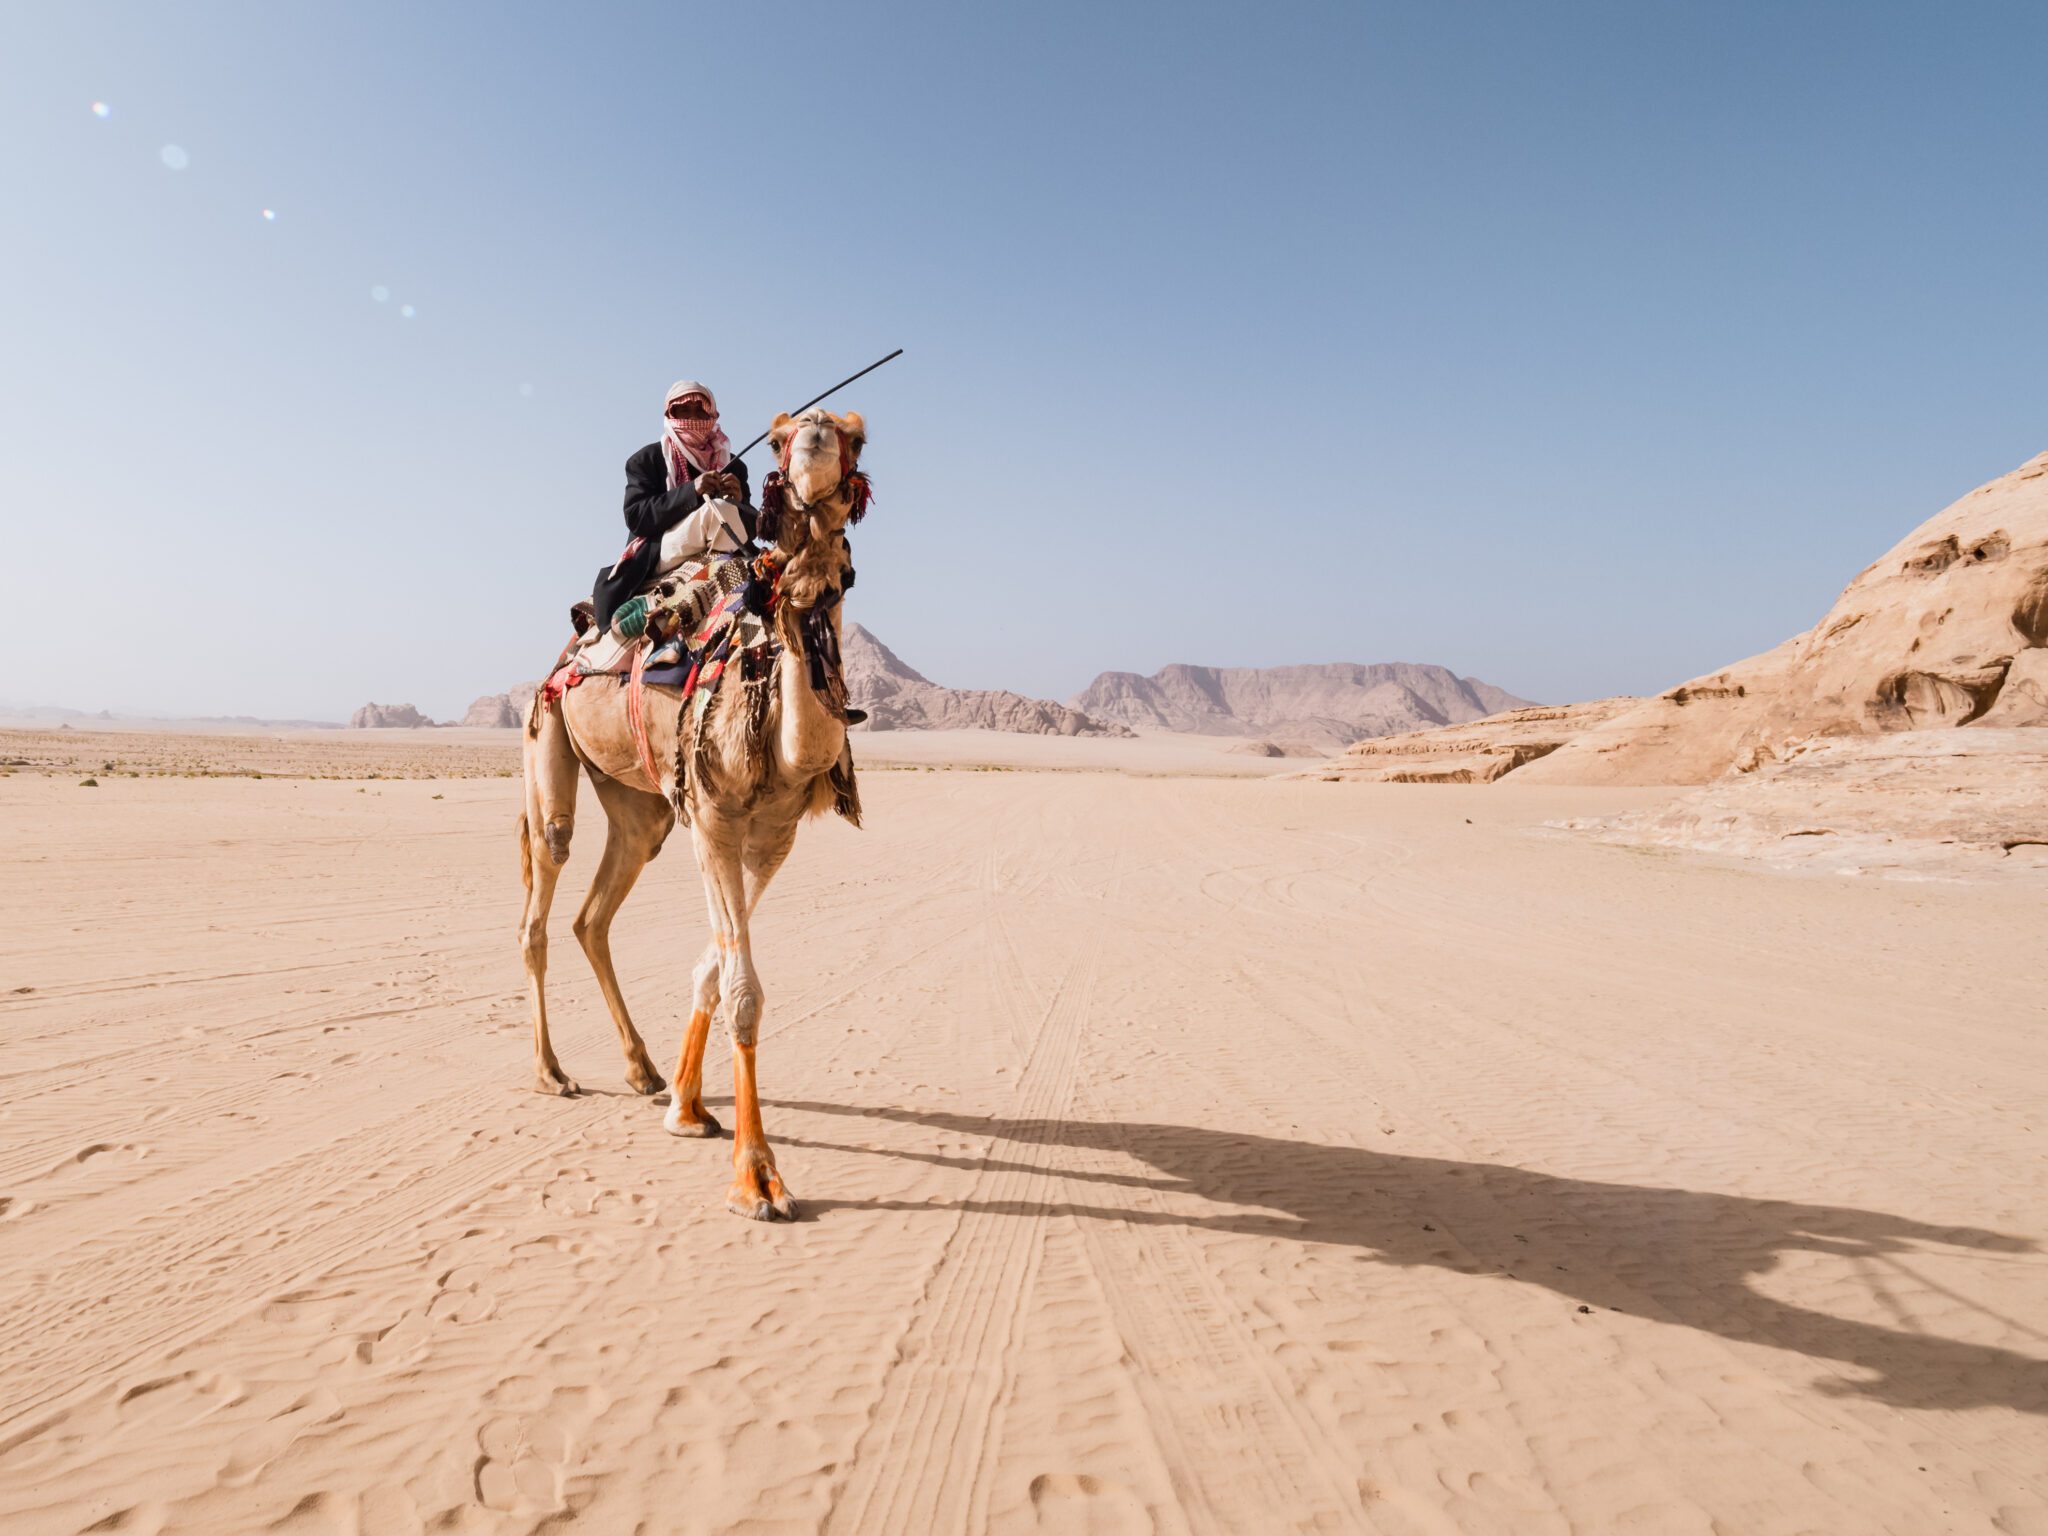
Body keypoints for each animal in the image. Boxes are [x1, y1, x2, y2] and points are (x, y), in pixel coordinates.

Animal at [516, 409, 868, 1228]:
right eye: (778, 440)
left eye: (857, 439)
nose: (813, 434)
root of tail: (567, 647)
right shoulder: (712, 814)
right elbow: (743, 993)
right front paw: (757, 1178)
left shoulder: (772, 837)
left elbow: (714, 970)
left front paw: (685, 1106)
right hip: (547, 740)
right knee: (545, 893)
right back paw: (551, 1072)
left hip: (641, 807)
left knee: (592, 916)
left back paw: (642, 1069)